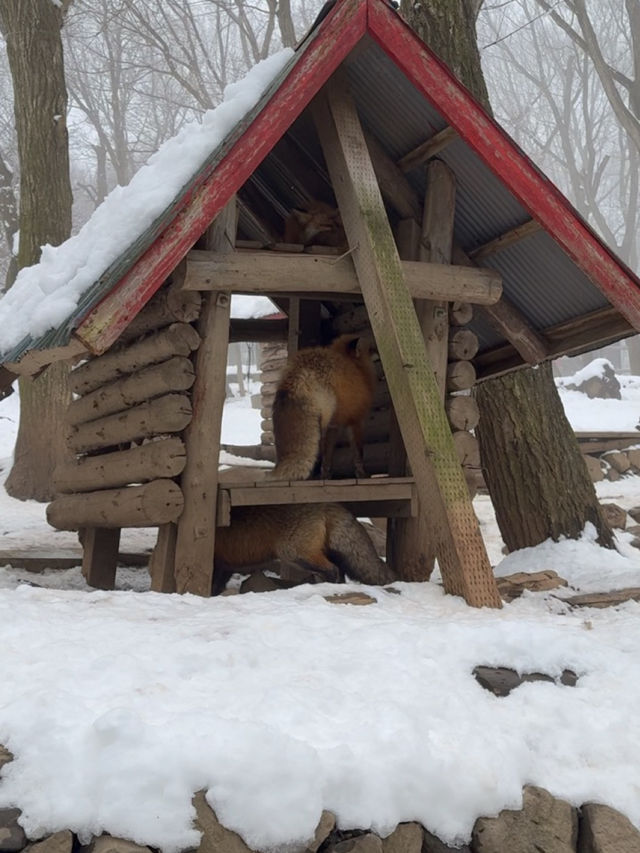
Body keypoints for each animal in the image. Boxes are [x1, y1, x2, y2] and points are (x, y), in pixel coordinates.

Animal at [212, 500, 398, 592]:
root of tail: (327, 503)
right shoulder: (224, 565)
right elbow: (217, 585)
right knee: (339, 570)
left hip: (294, 553)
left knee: (333, 570)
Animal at [268, 332, 376, 480]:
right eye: (372, 349)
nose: (378, 353)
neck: (355, 367)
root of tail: (296, 375)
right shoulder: (355, 419)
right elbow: (358, 453)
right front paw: (362, 474)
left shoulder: (335, 423)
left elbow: (328, 455)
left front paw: (326, 475)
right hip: (323, 418)